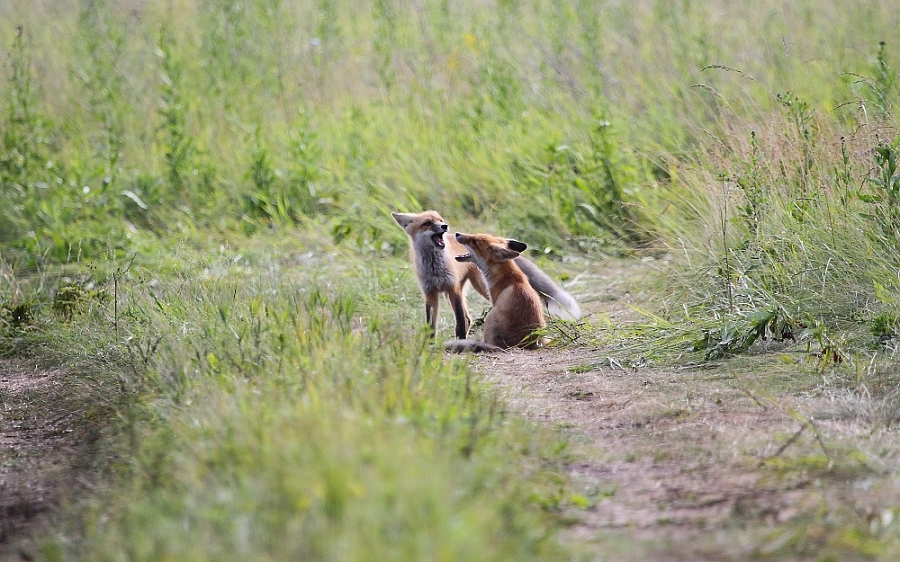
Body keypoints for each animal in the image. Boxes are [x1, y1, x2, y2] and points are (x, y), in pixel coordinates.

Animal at [392, 210, 576, 340]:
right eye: (428, 223)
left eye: (440, 220)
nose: (445, 227)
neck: (434, 269)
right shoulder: (430, 293)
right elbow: (430, 326)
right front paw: (429, 346)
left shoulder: (453, 288)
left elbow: (460, 323)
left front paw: (460, 342)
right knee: (468, 318)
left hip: (481, 289)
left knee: (467, 318)